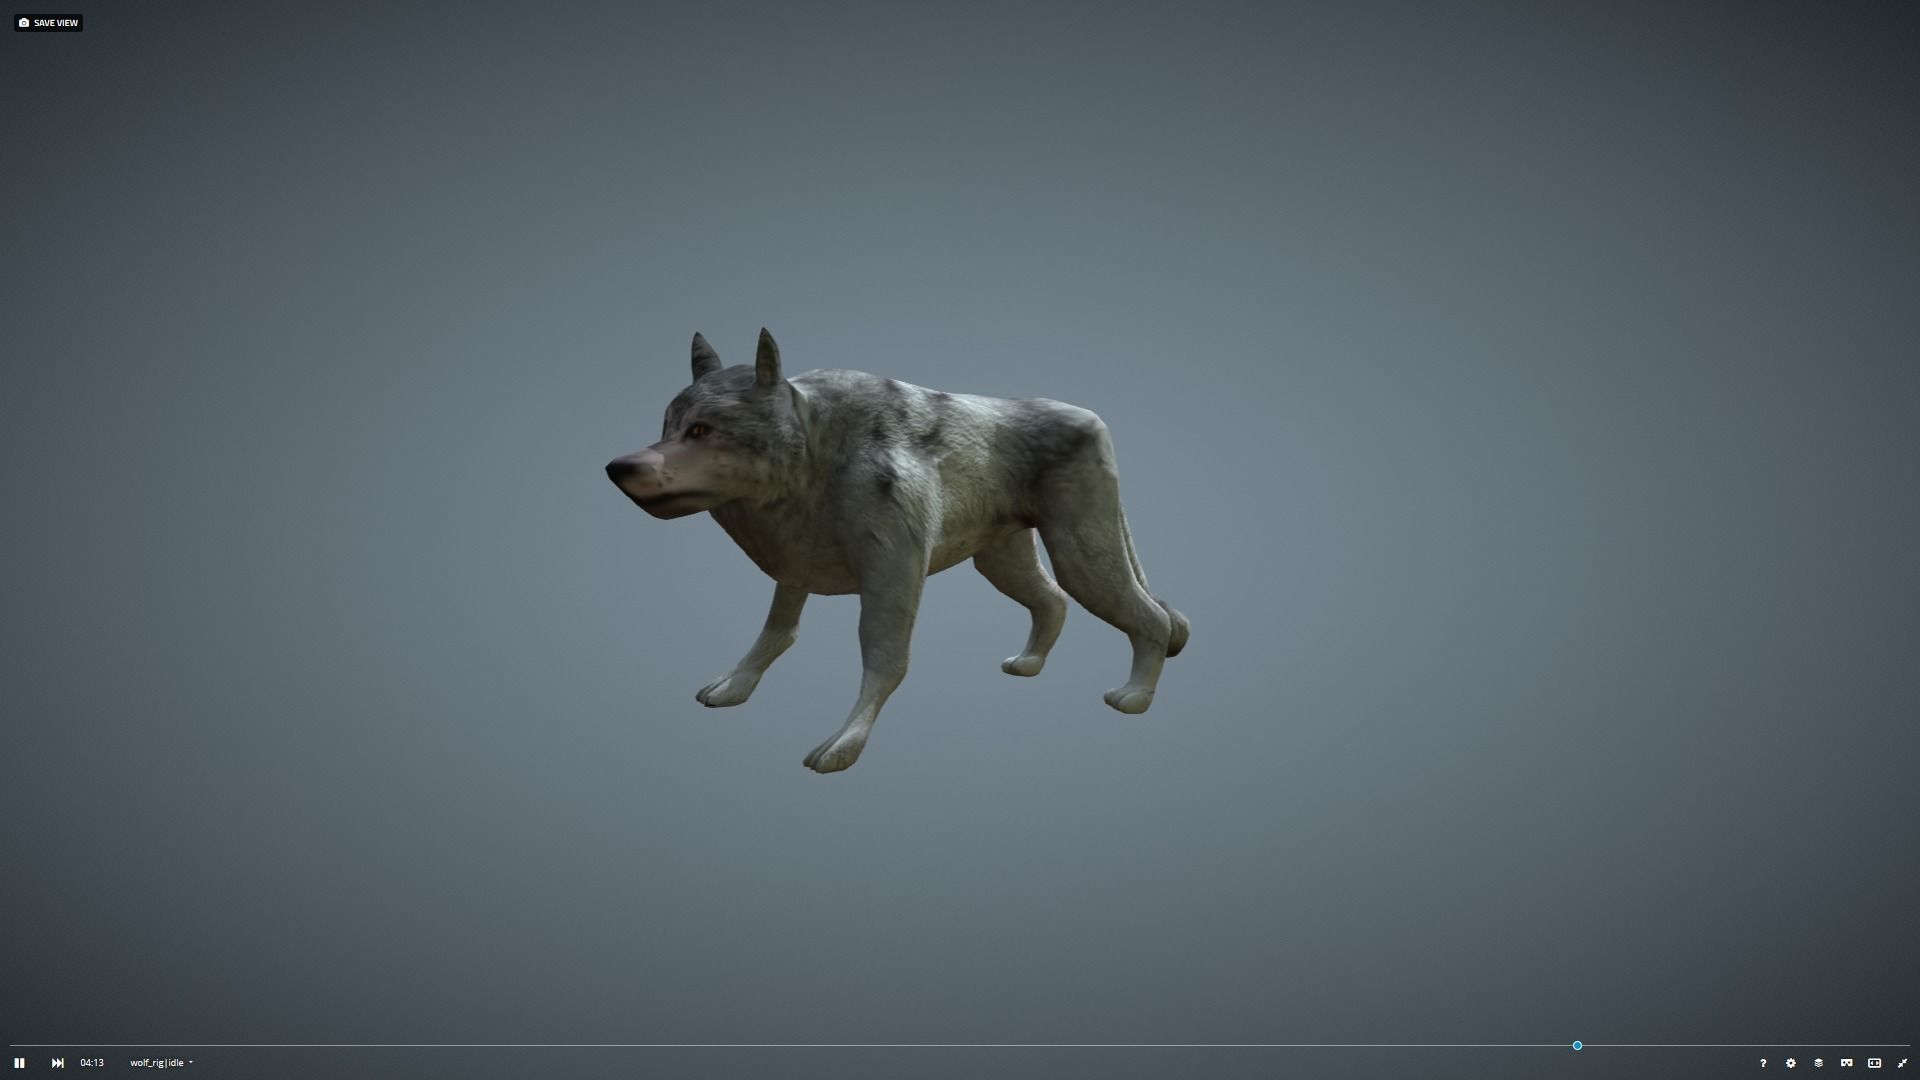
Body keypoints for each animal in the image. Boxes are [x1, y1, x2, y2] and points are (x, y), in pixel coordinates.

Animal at [605, 329, 1190, 774]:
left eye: (702, 430)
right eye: (666, 427)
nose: (618, 467)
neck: (811, 458)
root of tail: (1092, 416)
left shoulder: (893, 570)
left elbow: (884, 657)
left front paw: (845, 743)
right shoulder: (794, 566)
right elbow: (775, 634)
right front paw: (735, 685)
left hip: (1080, 554)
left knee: (1152, 618)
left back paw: (1135, 698)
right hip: (1001, 560)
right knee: (1052, 601)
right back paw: (1029, 664)